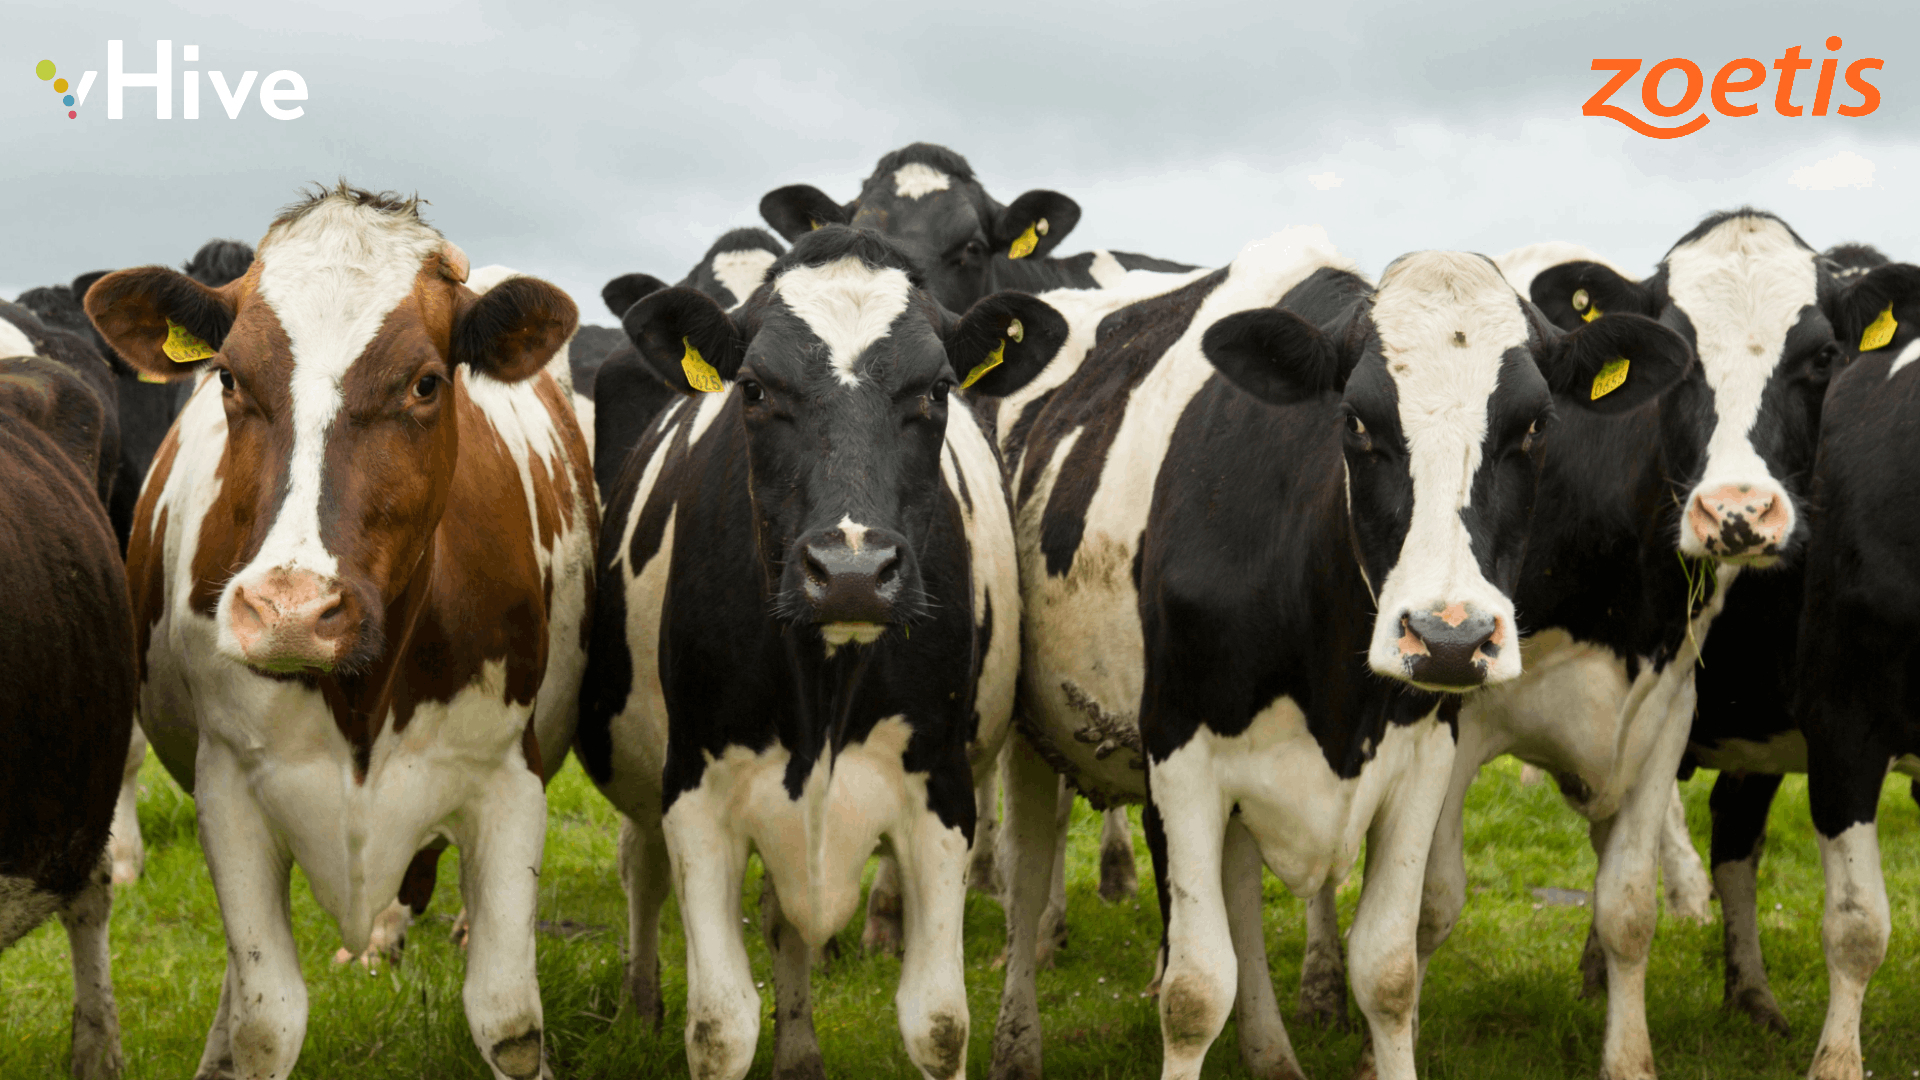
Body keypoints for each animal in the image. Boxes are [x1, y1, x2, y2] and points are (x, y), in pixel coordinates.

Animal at [86, 183, 596, 1080]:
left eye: (425, 383)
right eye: (229, 378)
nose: (291, 611)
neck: (365, 694)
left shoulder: (509, 777)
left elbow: (508, 1019)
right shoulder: (231, 788)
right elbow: (264, 1020)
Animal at [576, 225, 1063, 1080]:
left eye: (938, 389)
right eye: (753, 389)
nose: (852, 572)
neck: (825, 685)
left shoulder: (942, 791)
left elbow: (939, 1022)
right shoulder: (695, 789)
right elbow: (720, 1027)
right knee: (644, 866)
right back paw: (640, 1004)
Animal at [990, 228, 1692, 1080]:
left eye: (1534, 426)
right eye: (1356, 421)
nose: (1450, 637)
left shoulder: (1424, 758)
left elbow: (1387, 973)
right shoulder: (1181, 756)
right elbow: (1194, 991)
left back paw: (1270, 1054)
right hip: (1028, 732)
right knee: (1026, 875)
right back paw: (1016, 1042)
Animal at [1383, 212, 1917, 1080]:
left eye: (1823, 357)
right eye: (1682, 355)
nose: (1737, 514)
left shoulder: (1665, 710)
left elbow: (1628, 900)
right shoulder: (1845, 723)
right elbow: (1429, 903)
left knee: (1728, 831)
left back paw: (1741, 995)